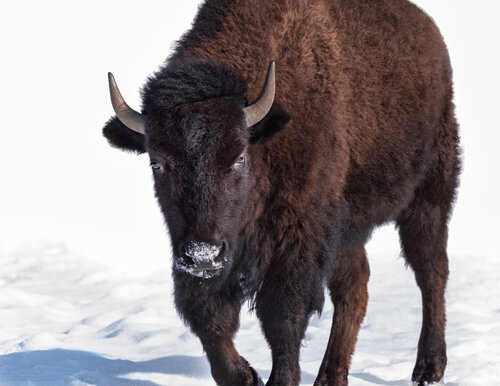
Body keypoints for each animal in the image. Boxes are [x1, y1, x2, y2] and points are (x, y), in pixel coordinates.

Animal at [101, 0, 460, 386]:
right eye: (157, 162)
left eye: (239, 158)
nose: (202, 255)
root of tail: (431, 34)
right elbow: (208, 316)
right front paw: (245, 375)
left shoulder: (299, 234)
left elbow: (283, 315)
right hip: (348, 228)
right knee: (355, 288)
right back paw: (330, 377)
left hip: (429, 196)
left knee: (431, 272)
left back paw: (429, 367)